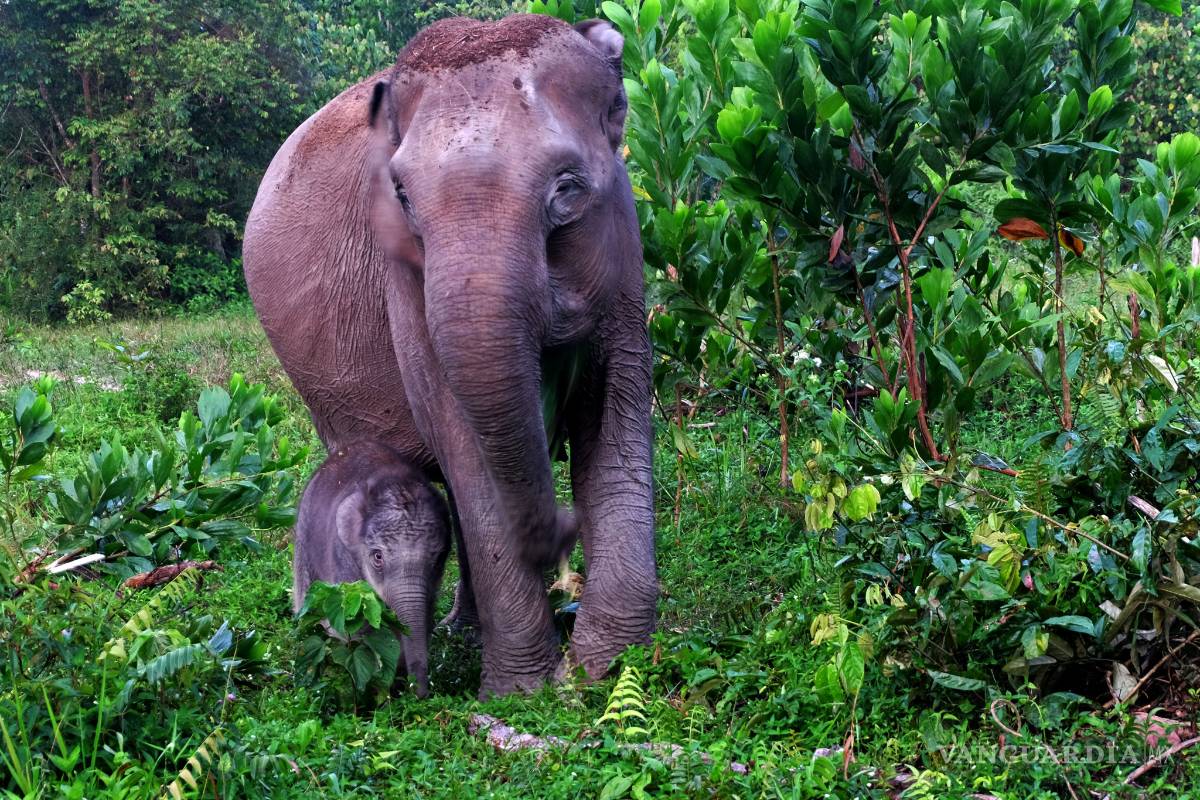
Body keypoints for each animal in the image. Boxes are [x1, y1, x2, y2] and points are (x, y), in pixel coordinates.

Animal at [293, 441, 451, 698]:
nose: (420, 695)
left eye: (437, 558)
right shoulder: (343, 558)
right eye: (377, 557)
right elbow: (358, 624)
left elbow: (425, 615)